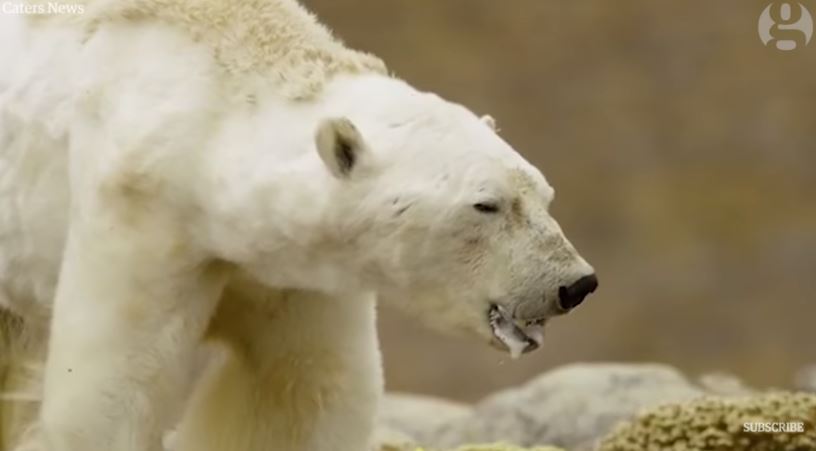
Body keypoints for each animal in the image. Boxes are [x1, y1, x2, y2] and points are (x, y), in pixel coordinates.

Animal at [0, 1, 598, 451]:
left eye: (544, 195)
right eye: (486, 205)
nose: (575, 284)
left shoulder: (292, 269)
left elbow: (301, 392)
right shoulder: (141, 209)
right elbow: (110, 390)